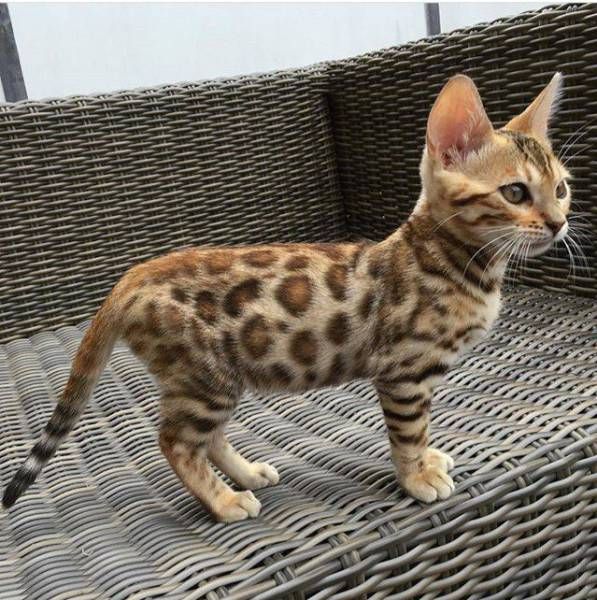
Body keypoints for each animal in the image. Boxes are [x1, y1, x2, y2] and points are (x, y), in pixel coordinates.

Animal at [3, 73, 571, 522]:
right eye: (515, 192)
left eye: (562, 189)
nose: (559, 223)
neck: (456, 262)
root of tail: (137, 273)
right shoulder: (404, 372)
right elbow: (409, 433)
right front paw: (416, 477)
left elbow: (424, 430)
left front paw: (429, 460)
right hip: (204, 377)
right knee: (174, 441)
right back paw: (224, 502)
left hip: (216, 378)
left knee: (206, 437)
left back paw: (247, 475)